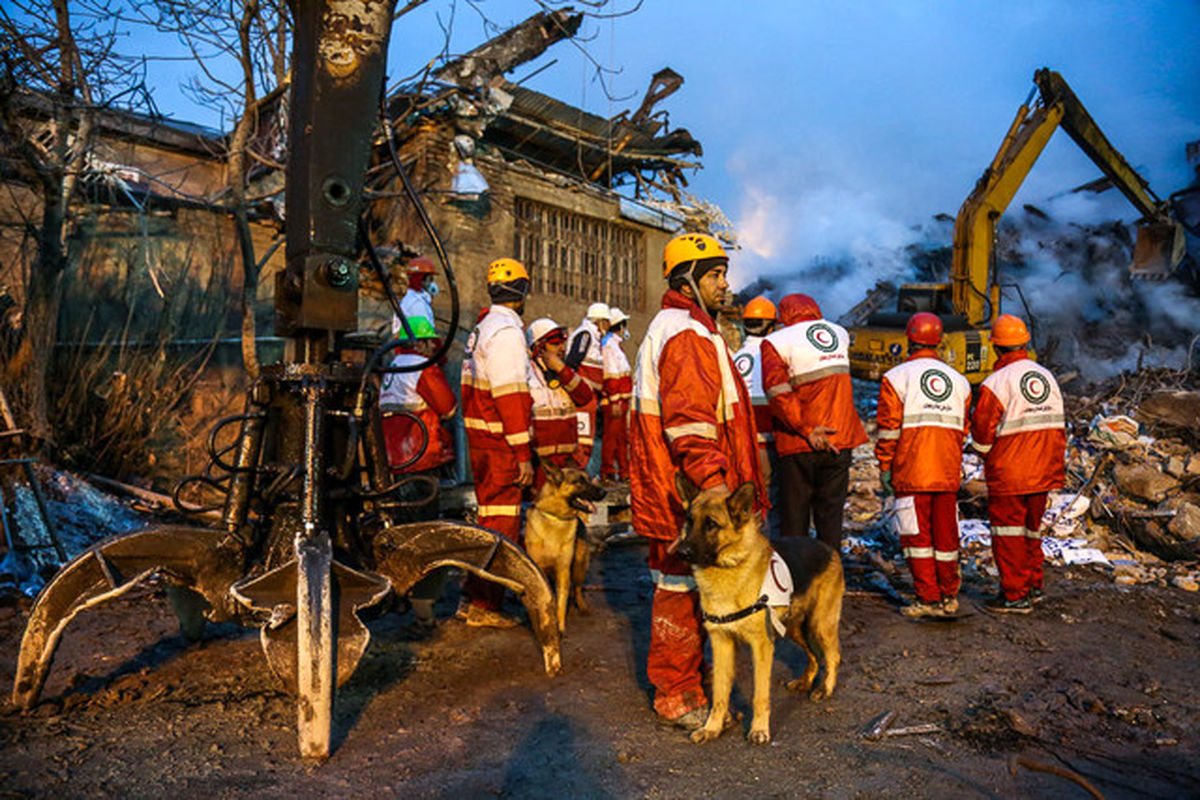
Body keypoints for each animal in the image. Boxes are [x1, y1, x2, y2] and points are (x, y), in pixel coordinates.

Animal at [523, 462, 604, 633]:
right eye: (579, 481)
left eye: (588, 479)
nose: (604, 491)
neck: (556, 518)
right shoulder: (537, 569)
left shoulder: (563, 570)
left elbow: (561, 601)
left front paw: (560, 626)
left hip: (579, 566)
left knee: (577, 588)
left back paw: (582, 606)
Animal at [676, 474, 844, 743]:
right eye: (689, 521)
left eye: (711, 524)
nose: (682, 552)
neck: (730, 568)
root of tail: (828, 548)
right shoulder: (722, 643)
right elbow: (720, 694)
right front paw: (712, 728)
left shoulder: (762, 646)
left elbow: (760, 695)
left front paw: (759, 730)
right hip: (795, 629)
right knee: (814, 656)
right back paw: (805, 682)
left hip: (820, 625)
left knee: (833, 656)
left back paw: (824, 689)